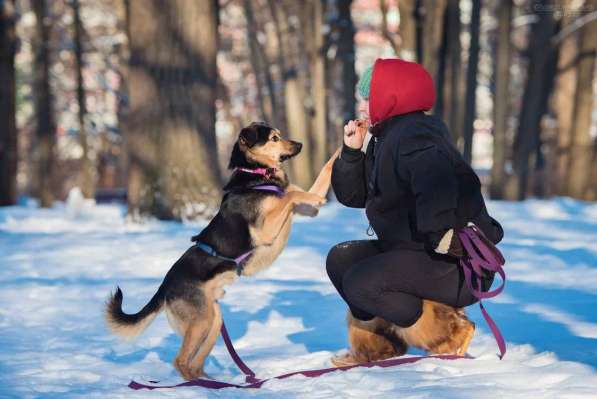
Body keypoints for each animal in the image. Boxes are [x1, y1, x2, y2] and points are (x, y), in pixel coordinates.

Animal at [107, 122, 340, 382]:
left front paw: (347, 142)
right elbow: (290, 194)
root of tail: (165, 286)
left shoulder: (306, 210)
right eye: (274, 138)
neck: (257, 175)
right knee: (180, 361)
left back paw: (216, 383)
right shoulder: (265, 230)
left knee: (194, 363)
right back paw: (200, 386)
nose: (299, 144)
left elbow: (323, 171)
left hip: (212, 321)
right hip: (201, 321)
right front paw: (315, 194)